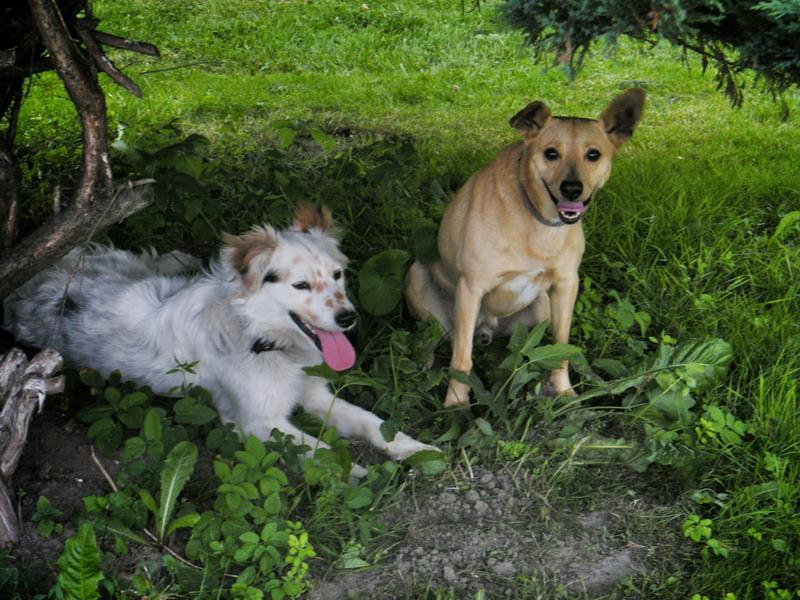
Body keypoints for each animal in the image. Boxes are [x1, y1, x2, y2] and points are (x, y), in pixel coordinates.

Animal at [3, 206, 438, 478]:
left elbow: (371, 422)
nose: (348, 318)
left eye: (337, 275)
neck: (262, 337)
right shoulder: (257, 421)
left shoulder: (315, 393)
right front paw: (353, 470)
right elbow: (321, 449)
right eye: (300, 285)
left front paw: (413, 448)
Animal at [406, 89, 644, 406]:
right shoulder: (471, 287)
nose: (572, 189)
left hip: (541, 305)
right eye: (551, 153)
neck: (539, 223)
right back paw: (424, 361)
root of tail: (488, 326)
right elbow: (461, 360)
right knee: (438, 339)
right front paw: (456, 402)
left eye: (593, 154)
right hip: (419, 278)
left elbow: (561, 346)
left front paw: (564, 390)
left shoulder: (566, 285)